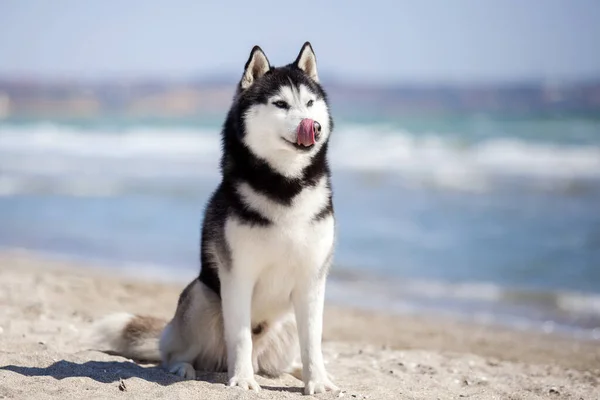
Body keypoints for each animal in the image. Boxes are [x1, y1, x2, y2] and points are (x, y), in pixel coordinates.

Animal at [93, 43, 338, 394]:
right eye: (280, 104)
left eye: (309, 103)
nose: (313, 127)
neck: (284, 185)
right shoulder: (238, 275)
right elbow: (240, 337)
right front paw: (243, 381)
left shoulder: (312, 280)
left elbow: (313, 343)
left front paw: (317, 381)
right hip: (201, 296)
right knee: (175, 353)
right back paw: (185, 367)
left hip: (287, 319)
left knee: (280, 362)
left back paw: (293, 371)